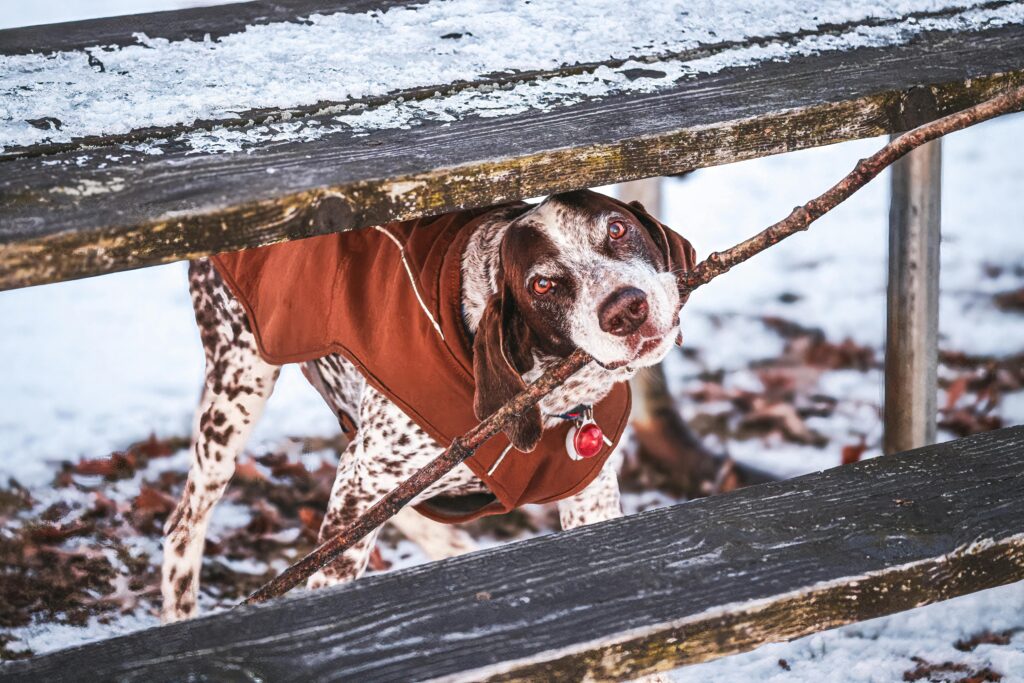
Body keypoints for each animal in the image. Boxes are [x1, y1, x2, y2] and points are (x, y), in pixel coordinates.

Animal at [161, 189, 696, 622]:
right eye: (542, 285)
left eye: (617, 228)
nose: (626, 309)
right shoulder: (362, 481)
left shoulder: (591, 494)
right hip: (240, 383)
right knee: (182, 527)